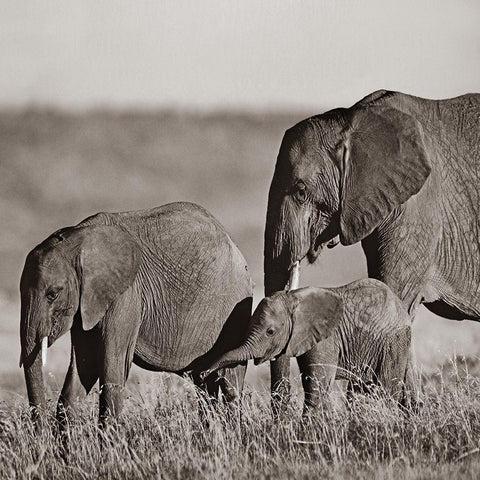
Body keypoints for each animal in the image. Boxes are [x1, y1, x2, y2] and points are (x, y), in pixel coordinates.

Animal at [19, 201, 251, 426]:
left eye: (53, 294)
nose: (41, 433)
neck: (79, 238)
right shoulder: (86, 304)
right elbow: (84, 365)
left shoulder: (127, 295)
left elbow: (113, 366)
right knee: (204, 383)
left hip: (235, 309)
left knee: (229, 381)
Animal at [204, 280, 414, 410]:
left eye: (270, 331)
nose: (205, 373)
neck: (295, 297)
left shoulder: (326, 340)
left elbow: (317, 388)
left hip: (393, 343)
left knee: (385, 390)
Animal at [264, 88, 480, 410]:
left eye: (301, 191)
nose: (282, 413)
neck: (351, 121)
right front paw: (408, 411)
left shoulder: (418, 209)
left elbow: (394, 299)